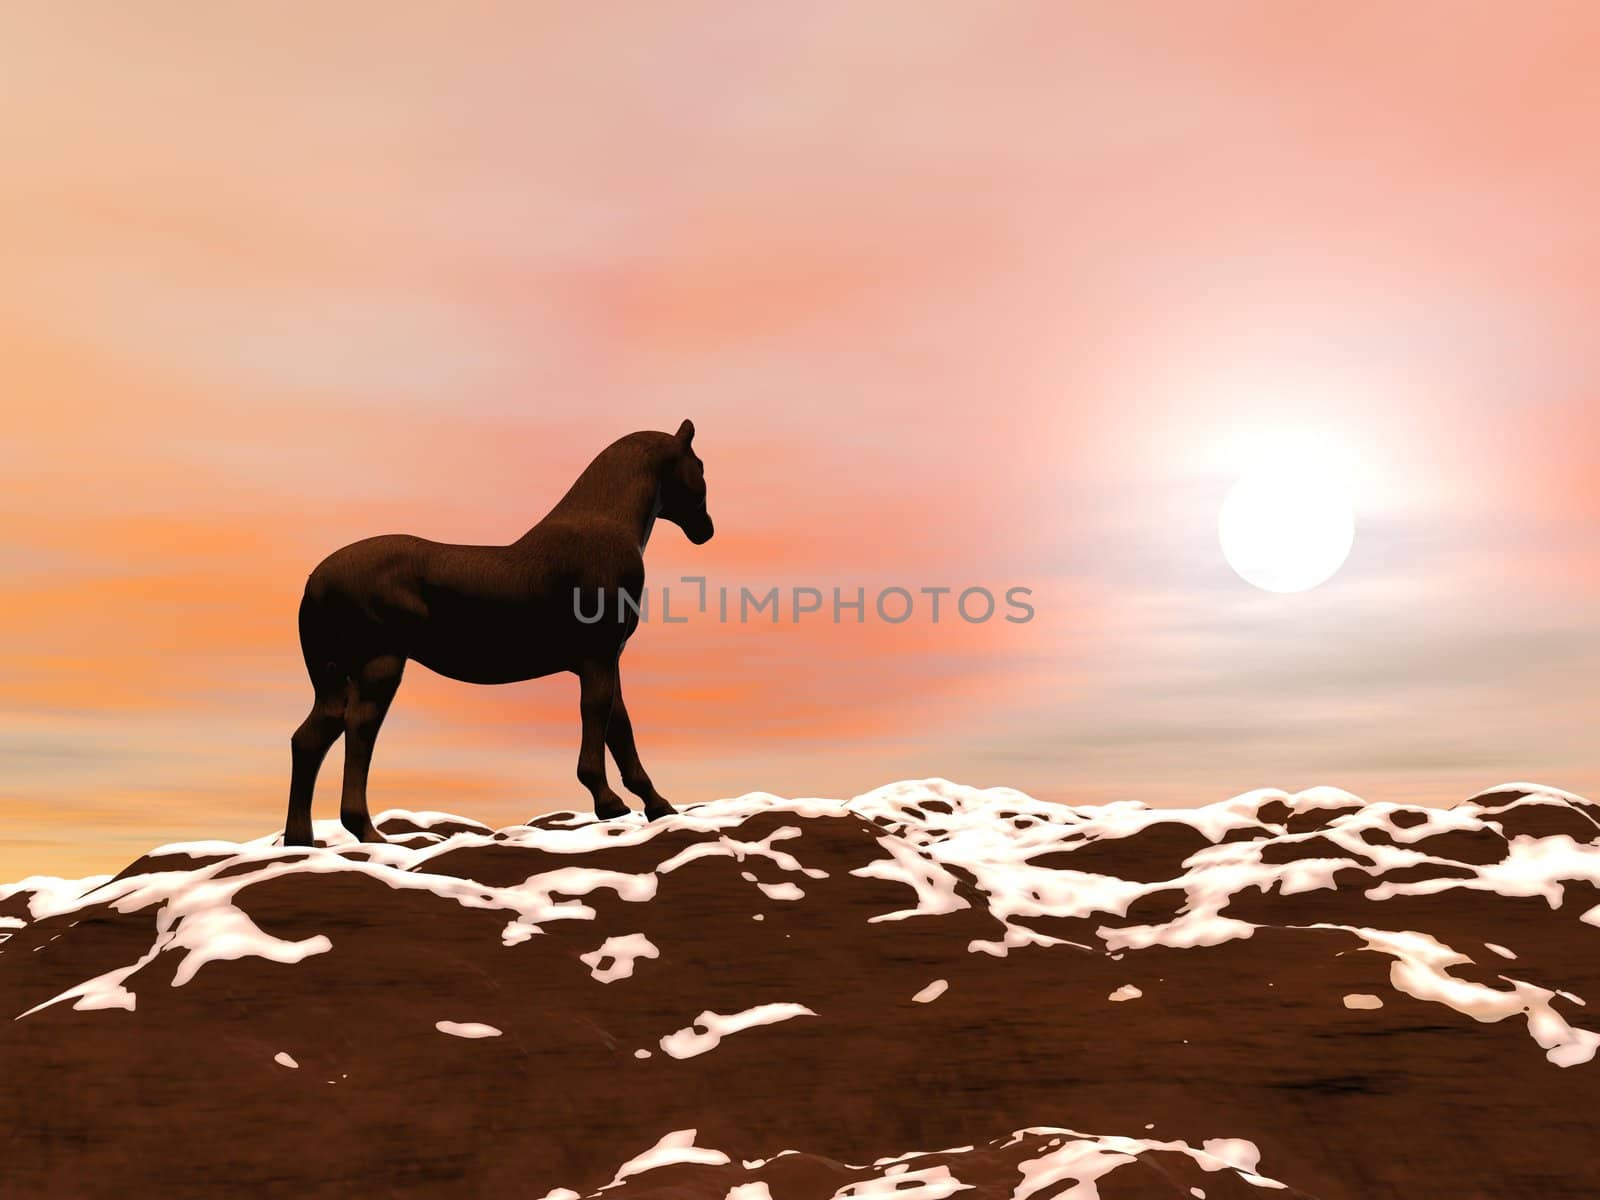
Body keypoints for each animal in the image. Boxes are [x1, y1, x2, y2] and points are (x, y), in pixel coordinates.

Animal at [281, 419, 713, 844]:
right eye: (700, 467)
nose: (705, 530)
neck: (604, 528)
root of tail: (315, 582)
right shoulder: (598, 656)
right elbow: (599, 716)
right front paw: (609, 802)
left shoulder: (606, 658)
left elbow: (619, 726)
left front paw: (658, 805)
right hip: (379, 667)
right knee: (359, 729)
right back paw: (368, 833)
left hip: (334, 678)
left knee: (310, 738)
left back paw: (301, 840)